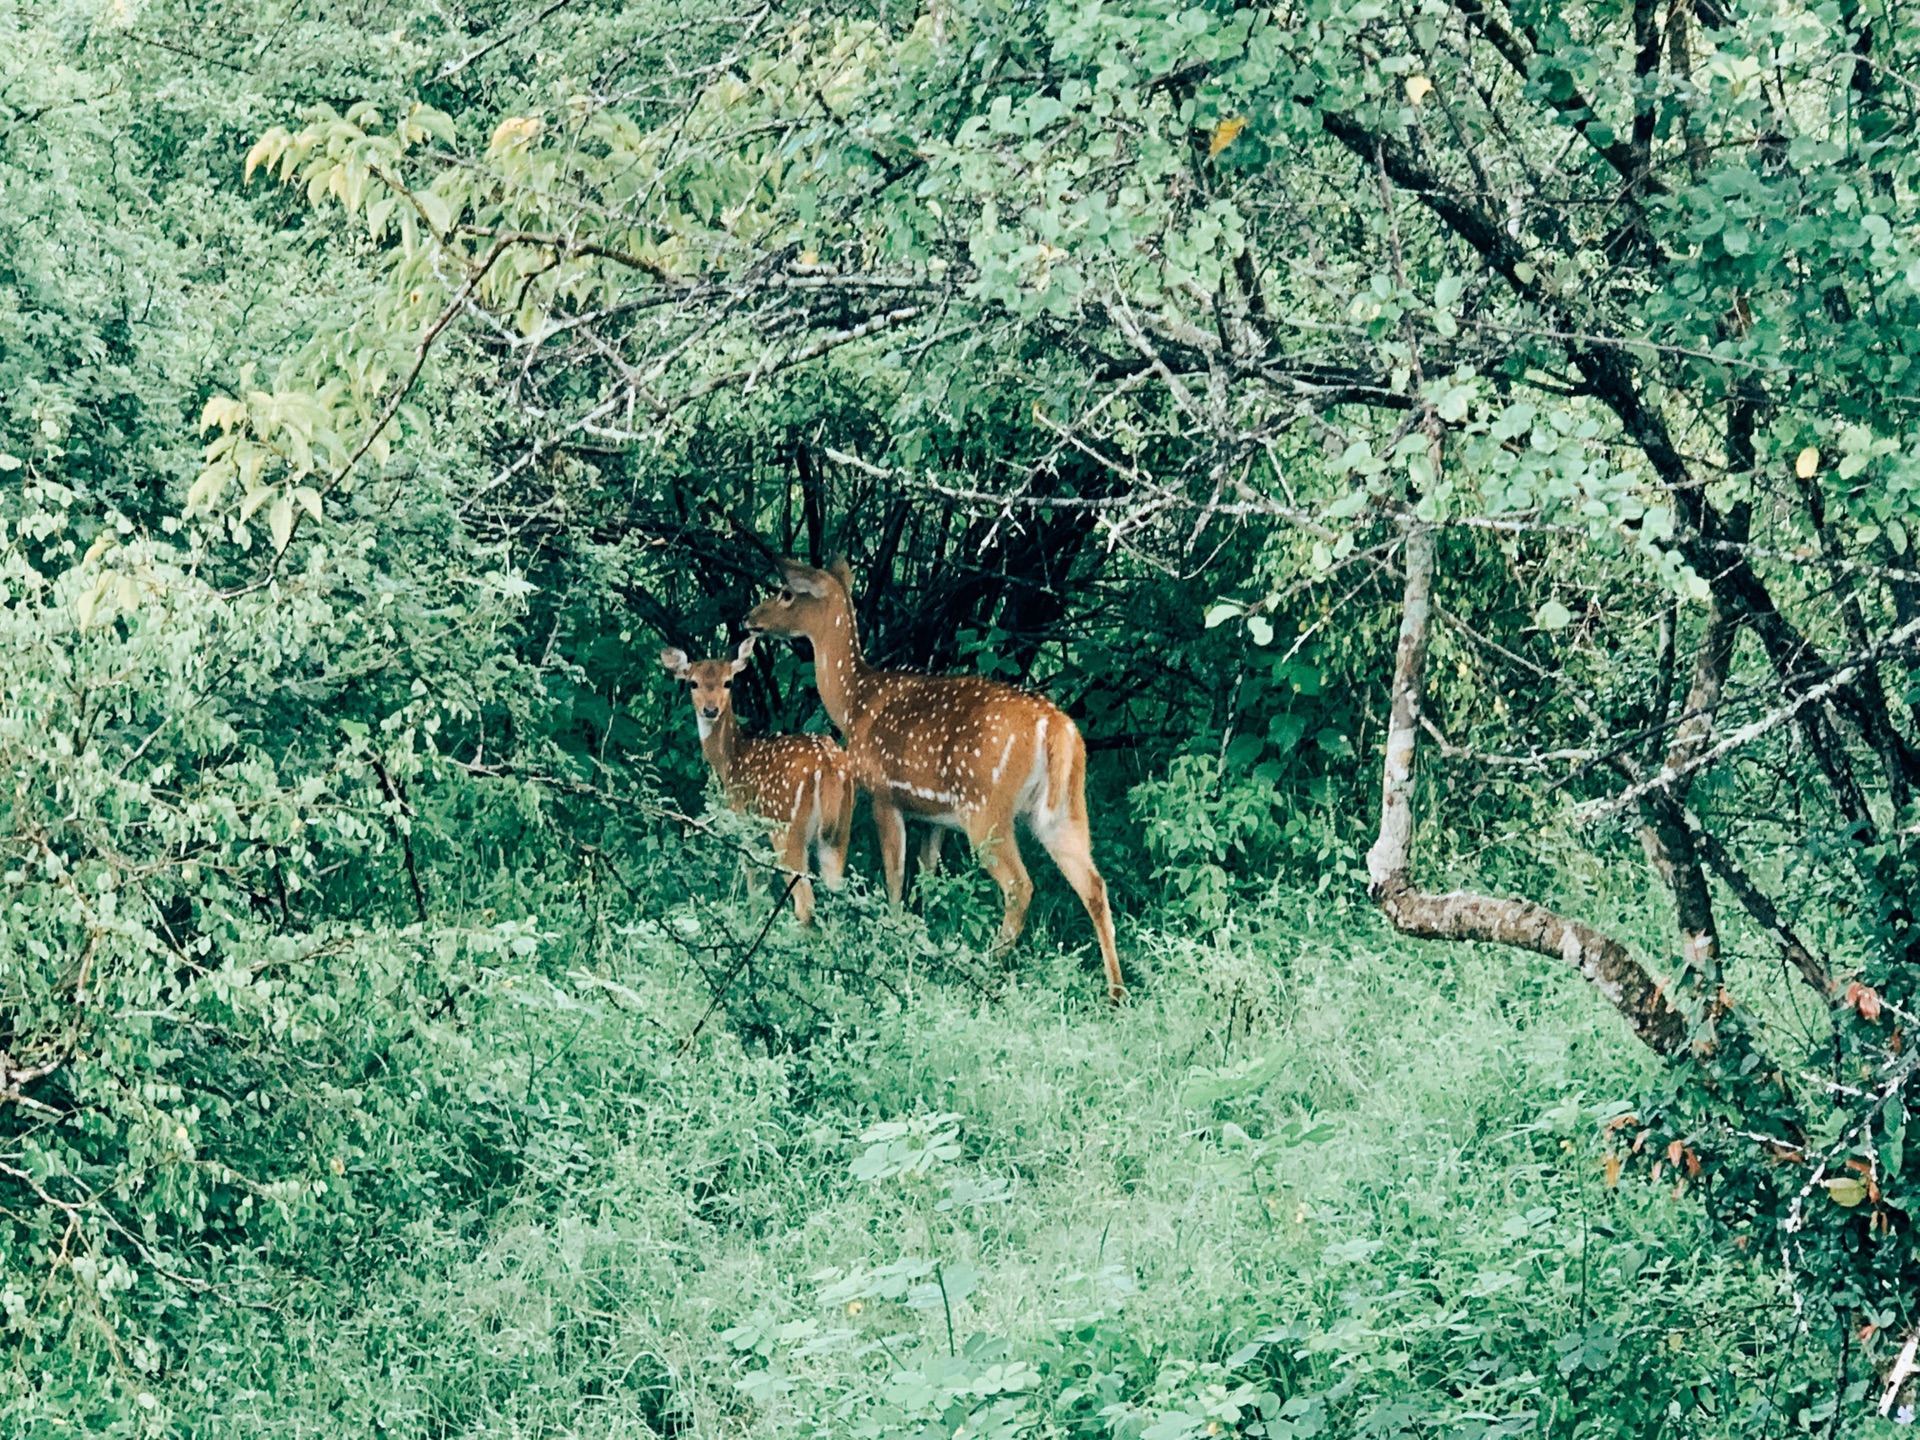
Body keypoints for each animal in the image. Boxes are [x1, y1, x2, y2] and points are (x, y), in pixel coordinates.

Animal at [660, 641, 856, 929]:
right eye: (693, 683)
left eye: (728, 682)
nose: (710, 709)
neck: (730, 758)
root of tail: (828, 767)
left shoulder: (744, 823)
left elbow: (753, 877)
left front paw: (752, 922)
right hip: (840, 830)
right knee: (837, 899)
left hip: (786, 827)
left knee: (805, 904)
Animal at [741, 556, 1121, 998]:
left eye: (786, 593)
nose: (749, 618)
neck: (855, 702)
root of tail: (1057, 729)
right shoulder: (934, 817)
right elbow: (926, 877)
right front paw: (918, 939)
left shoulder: (885, 794)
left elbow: (895, 878)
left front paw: (894, 938)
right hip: (1064, 811)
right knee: (1094, 885)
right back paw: (1116, 993)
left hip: (986, 808)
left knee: (1019, 885)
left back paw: (987, 968)